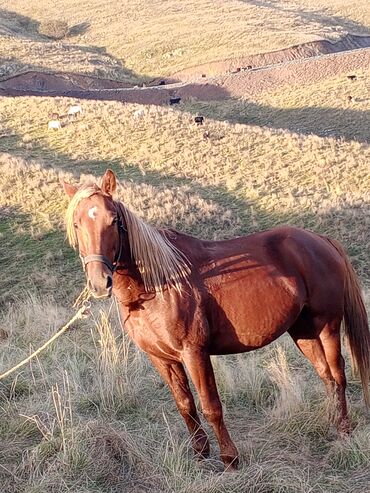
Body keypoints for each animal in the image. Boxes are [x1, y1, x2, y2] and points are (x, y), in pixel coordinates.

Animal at [62, 170, 368, 468]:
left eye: (114, 220)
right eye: (77, 224)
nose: (100, 282)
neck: (160, 285)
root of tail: (321, 241)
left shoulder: (194, 353)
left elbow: (211, 406)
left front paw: (230, 459)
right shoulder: (162, 359)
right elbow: (185, 405)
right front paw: (200, 452)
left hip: (327, 326)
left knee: (338, 374)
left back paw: (343, 430)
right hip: (303, 331)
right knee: (325, 376)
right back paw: (331, 422)